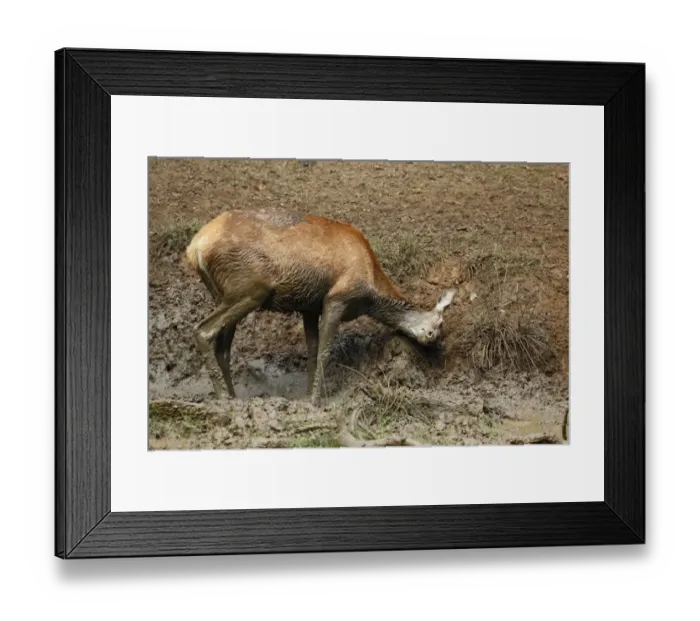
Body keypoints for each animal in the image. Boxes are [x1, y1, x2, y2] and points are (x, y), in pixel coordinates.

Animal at [185, 209, 456, 406]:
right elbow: (325, 351)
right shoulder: (336, 298)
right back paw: (221, 398)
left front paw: (306, 395)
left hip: (224, 294)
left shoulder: (309, 307)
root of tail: (194, 249)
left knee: (223, 347)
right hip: (250, 288)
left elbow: (312, 349)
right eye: (440, 324)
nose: (438, 348)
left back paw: (233, 398)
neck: (370, 291)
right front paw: (316, 401)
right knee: (202, 331)